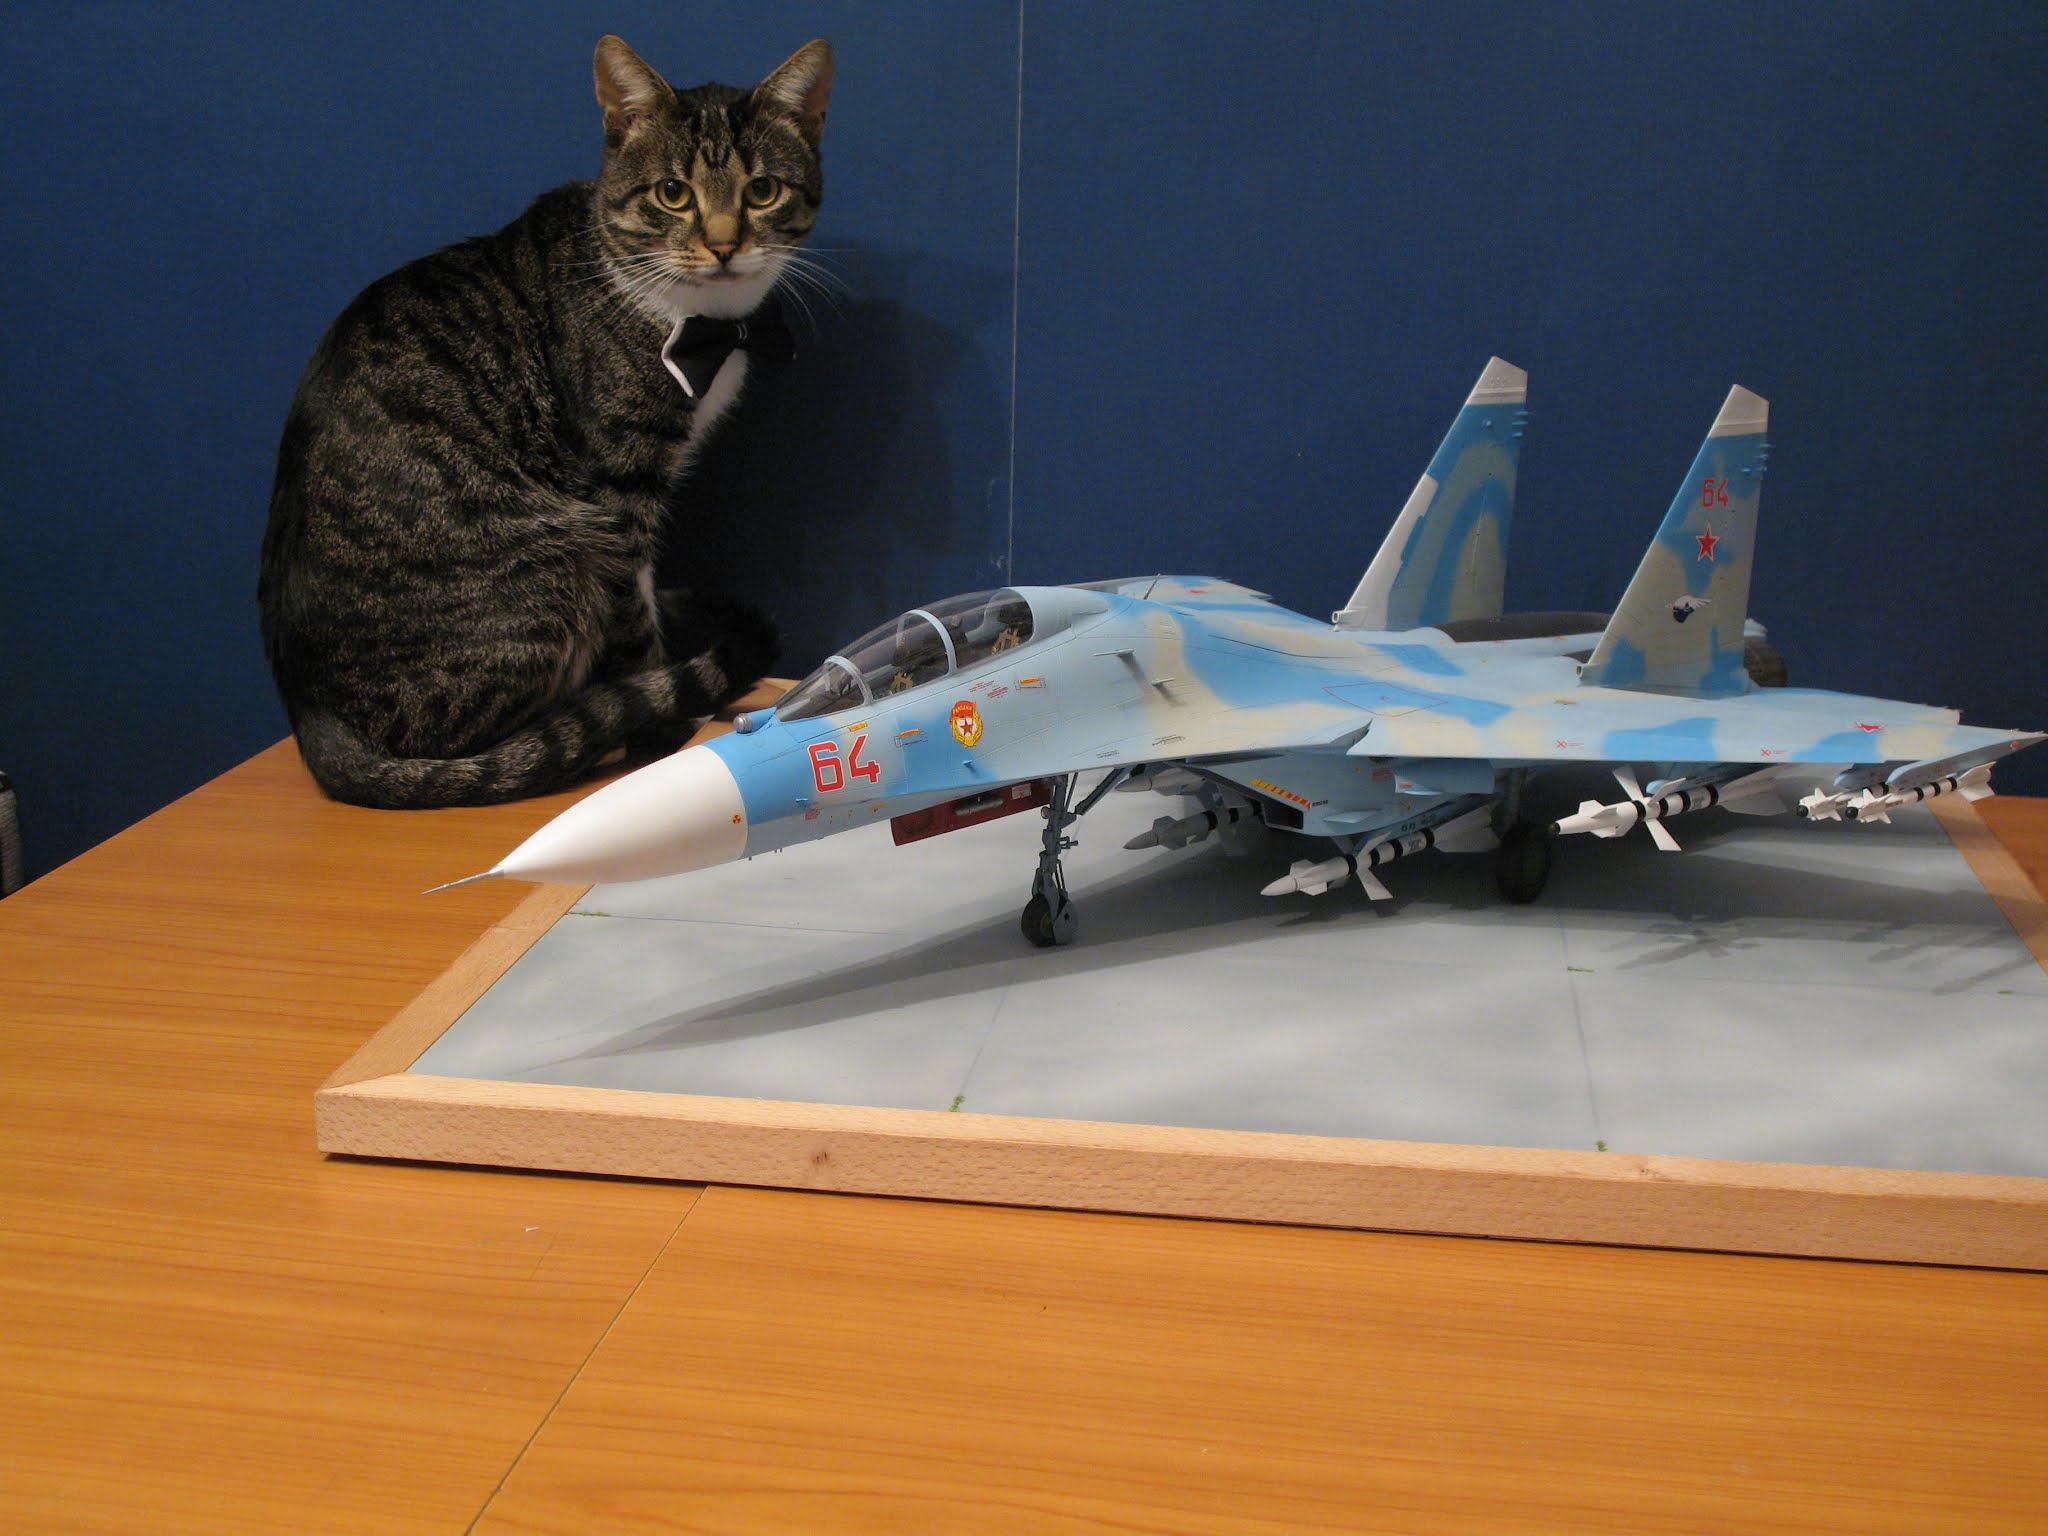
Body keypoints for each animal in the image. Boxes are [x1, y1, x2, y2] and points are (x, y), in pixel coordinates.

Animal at [258, 35, 832, 809]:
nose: (722, 244)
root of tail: (312, 720)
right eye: (673, 194)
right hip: (553, 564)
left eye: (762, 190)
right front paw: (666, 721)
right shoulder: (617, 488)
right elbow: (634, 623)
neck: (703, 320)